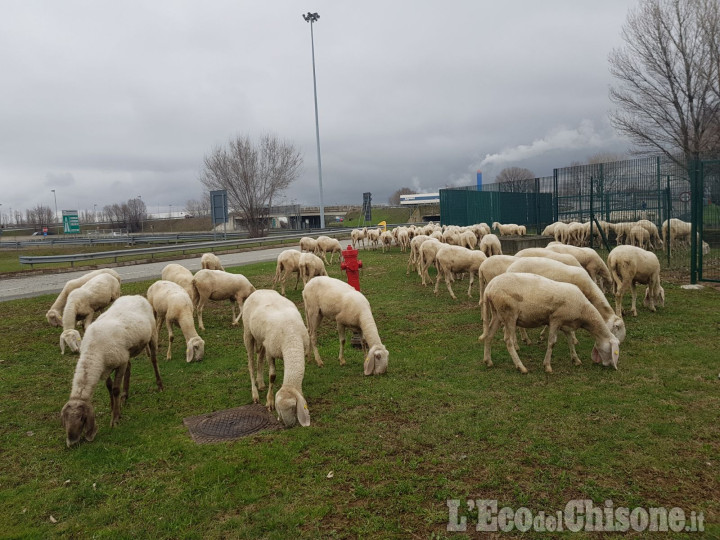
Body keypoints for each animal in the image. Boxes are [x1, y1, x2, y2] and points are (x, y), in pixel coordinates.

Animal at [59, 296, 164, 448]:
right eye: (65, 419)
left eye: (82, 418)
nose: (71, 442)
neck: (93, 352)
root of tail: (136, 296)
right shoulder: (105, 368)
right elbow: (109, 387)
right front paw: (114, 406)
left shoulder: (119, 364)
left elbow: (115, 389)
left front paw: (115, 419)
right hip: (126, 352)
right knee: (129, 367)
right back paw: (124, 396)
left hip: (152, 335)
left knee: (154, 361)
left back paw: (160, 385)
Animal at [242, 288, 310, 428]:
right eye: (279, 407)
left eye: (294, 407)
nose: (288, 425)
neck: (292, 337)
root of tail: (259, 290)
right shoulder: (271, 352)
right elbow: (272, 376)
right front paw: (269, 402)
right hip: (248, 333)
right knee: (251, 364)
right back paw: (255, 394)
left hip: (263, 340)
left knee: (259, 358)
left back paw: (261, 383)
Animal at [478, 272, 620, 374]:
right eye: (614, 351)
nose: (610, 366)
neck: (583, 311)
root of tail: (489, 288)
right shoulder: (555, 319)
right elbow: (552, 343)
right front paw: (547, 366)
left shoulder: (566, 324)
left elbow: (570, 340)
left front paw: (576, 359)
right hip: (509, 314)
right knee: (508, 341)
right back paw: (521, 366)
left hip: (497, 314)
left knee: (489, 335)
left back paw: (488, 361)